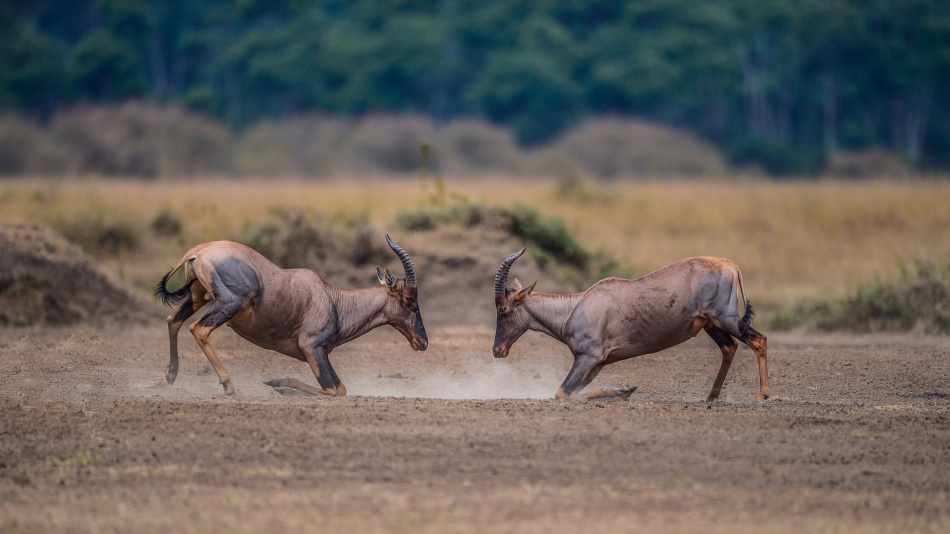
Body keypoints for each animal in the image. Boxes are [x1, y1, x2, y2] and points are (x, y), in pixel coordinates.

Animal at [154, 236, 430, 398]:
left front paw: (276, 383)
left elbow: (337, 389)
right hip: (229, 303)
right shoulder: (312, 349)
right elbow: (337, 389)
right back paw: (228, 386)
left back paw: (170, 375)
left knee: (173, 320)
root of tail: (198, 251)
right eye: (409, 299)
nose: (423, 342)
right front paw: (278, 384)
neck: (332, 299)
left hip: (198, 296)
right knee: (199, 329)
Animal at [494, 249, 768, 404]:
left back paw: (761, 396)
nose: (498, 350)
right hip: (710, 324)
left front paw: (623, 391)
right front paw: (624, 390)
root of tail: (729, 263)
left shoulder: (588, 357)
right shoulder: (598, 363)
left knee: (758, 340)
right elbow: (572, 390)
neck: (577, 305)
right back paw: (710, 397)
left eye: (503, 309)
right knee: (729, 348)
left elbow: (561, 393)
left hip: (727, 318)